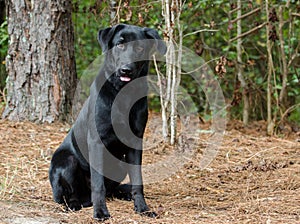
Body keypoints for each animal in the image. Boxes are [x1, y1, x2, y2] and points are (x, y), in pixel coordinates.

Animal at [49, 23, 166, 220]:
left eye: (140, 48)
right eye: (120, 44)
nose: (126, 69)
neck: (123, 93)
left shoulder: (135, 143)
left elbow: (138, 181)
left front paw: (142, 208)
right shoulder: (96, 142)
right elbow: (98, 184)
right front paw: (100, 211)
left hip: (120, 165)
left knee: (112, 189)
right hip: (66, 161)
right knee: (66, 196)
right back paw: (74, 204)